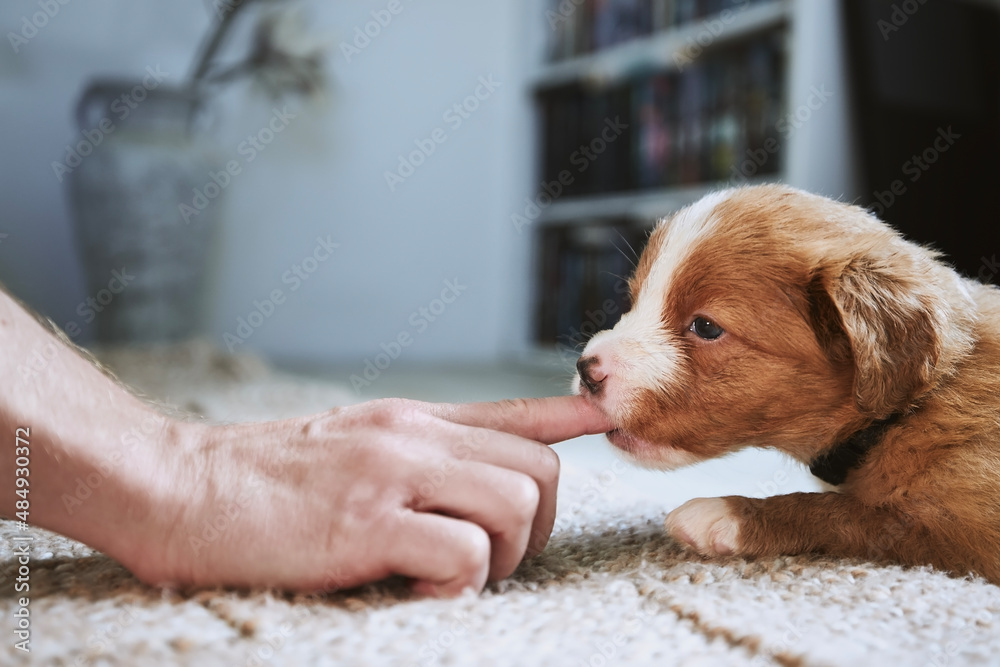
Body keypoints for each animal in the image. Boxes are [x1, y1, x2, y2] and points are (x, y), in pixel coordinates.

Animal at [572, 184, 1000, 584]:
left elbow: (857, 514)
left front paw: (727, 513)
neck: (915, 406)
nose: (586, 370)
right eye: (632, 301)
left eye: (706, 327)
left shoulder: (969, 535)